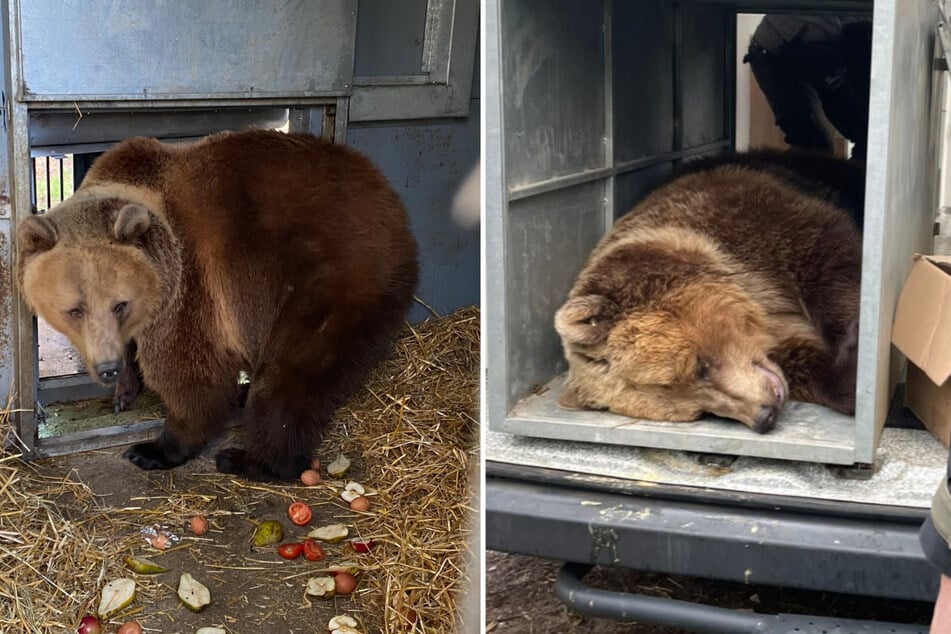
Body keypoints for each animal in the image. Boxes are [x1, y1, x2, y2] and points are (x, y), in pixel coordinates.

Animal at [16, 128, 418, 476]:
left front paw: (155, 448)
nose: (107, 369)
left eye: (120, 303)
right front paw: (124, 392)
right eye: (74, 310)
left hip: (325, 282)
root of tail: (391, 204)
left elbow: (191, 374)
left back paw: (252, 459)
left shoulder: (192, 287)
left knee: (290, 376)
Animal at [556, 152, 864, 430]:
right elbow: (810, 365)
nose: (764, 416)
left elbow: (832, 263)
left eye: (698, 367)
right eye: (700, 413)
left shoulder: (757, 224)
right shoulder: (782, 348)